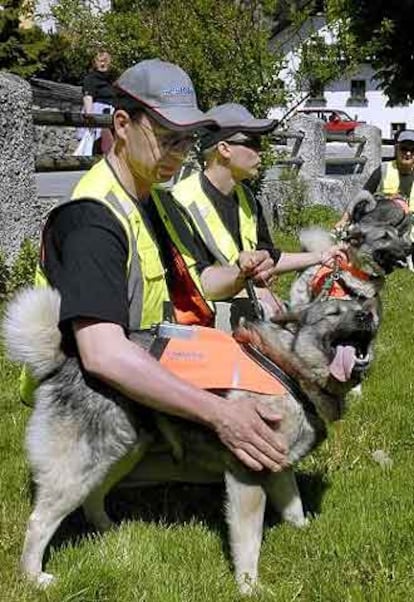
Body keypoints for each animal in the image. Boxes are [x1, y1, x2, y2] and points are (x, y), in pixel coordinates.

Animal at [4, 286, 378, 592]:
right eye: (333, 314)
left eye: (362, 307)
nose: (367, 315)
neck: (287, 367)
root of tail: (66, 361)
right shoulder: (248, 474)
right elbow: (249, 540)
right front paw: (249, 585)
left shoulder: (278, 466)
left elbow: (294, 507)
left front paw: (304, 532)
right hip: (80, 466)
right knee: (39, 522)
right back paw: (34, 577)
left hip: (122, 452)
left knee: (94, 495)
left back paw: (111, 529)